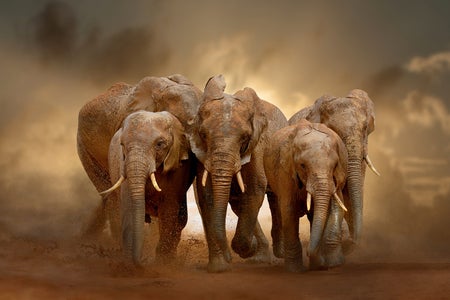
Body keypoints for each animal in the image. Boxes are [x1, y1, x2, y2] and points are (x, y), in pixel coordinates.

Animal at [100, 110, 195, 264]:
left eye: (160, 144)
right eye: (122, 144)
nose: (140, 262)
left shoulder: (177, 166)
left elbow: (169, 211)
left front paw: (163, 262)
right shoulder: (123, 164)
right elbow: (129, 207)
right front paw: (128, 264)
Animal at [189, 75, 288, 272]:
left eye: (244, 138)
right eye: (203, 135)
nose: (228, 258)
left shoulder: (258, 145)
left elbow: (256, 187)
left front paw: (246, 248)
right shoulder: (202, 154)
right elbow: (206, 195)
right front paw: (220, 267)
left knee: (275, 198)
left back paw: (279, 253)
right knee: (238, 204)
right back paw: (260, 257)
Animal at [264, 119, 348, 272]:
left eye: (334, 166)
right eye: (302, 166)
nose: (309, 253)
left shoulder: (337, 175)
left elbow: (337, 206)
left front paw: (333, 263)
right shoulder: (285, 170)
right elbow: (289, 209)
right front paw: (295, 270)